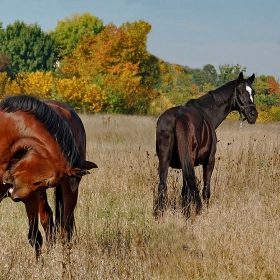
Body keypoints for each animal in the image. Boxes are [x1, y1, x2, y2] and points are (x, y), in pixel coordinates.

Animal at [0, 94, 97, 258]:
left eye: (49, 182)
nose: (15, 194)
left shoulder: (30, 195)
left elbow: (35, 236)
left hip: (68, 190)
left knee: (64, 224)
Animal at [155, 72, 258, 221]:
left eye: (253, 92)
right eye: (239, 91)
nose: (253, 114)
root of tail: (179, 115)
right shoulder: (209, 161)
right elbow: (205, 190)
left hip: (164, 160)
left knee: (163, 186)